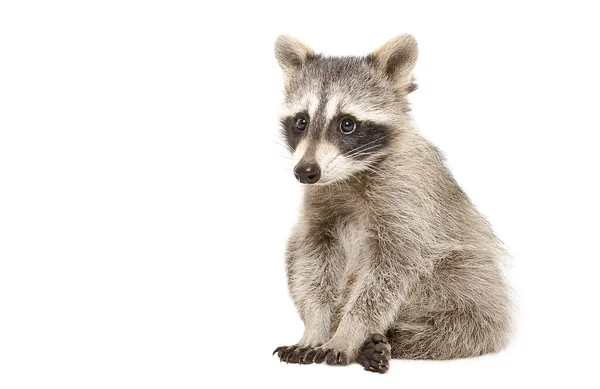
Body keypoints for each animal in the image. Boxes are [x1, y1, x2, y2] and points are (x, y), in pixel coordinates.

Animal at [272, 34, 510, 372]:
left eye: (347, 124)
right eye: (301, 121)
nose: (305, 172)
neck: (350, 174)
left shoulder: (407, 199)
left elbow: (387, 275)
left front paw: (349, 333)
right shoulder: (319, 207)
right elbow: (312, 262)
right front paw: (316, 328)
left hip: (472, 286)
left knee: (459, 325)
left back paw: (386, 341)